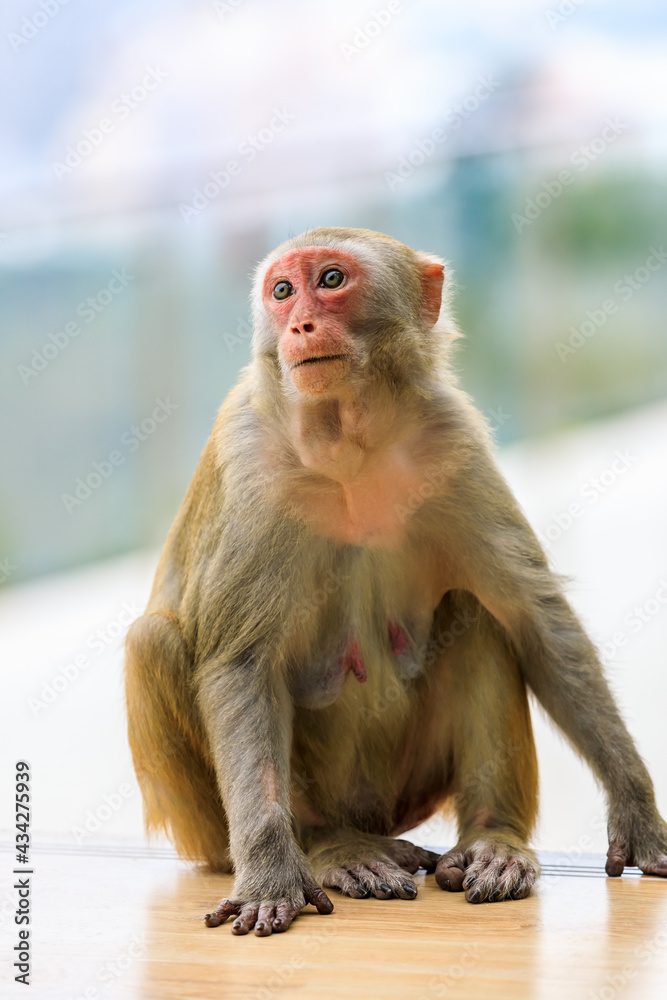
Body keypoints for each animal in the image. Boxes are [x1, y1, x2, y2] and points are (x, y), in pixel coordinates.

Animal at [125, 227, 667, 937]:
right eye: (281, 290)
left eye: (330, 280)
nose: (297, 323)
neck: (348, 442)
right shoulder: (249, 457)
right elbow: (241, 664)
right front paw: (270, 872)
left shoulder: (453, 437)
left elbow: (536, 618)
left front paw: (635, 803)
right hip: (218, 829)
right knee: (152, 643)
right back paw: (330, 846)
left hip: (412, 783)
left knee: (477, 610)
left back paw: (491, 839)